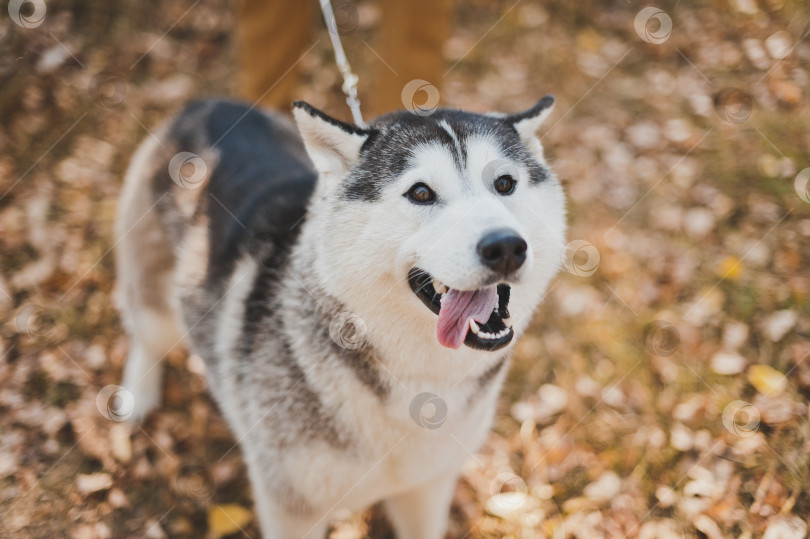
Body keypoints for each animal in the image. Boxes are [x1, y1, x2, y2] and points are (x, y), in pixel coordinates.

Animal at [117, 98, 564, 539]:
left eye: (504, 184)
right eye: (421, 192)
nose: (505, 247)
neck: (420, 378)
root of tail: (204, 104)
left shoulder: (427, 488)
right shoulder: (292, 507)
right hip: (158, 308)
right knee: (145, 337)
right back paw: (137, 396)